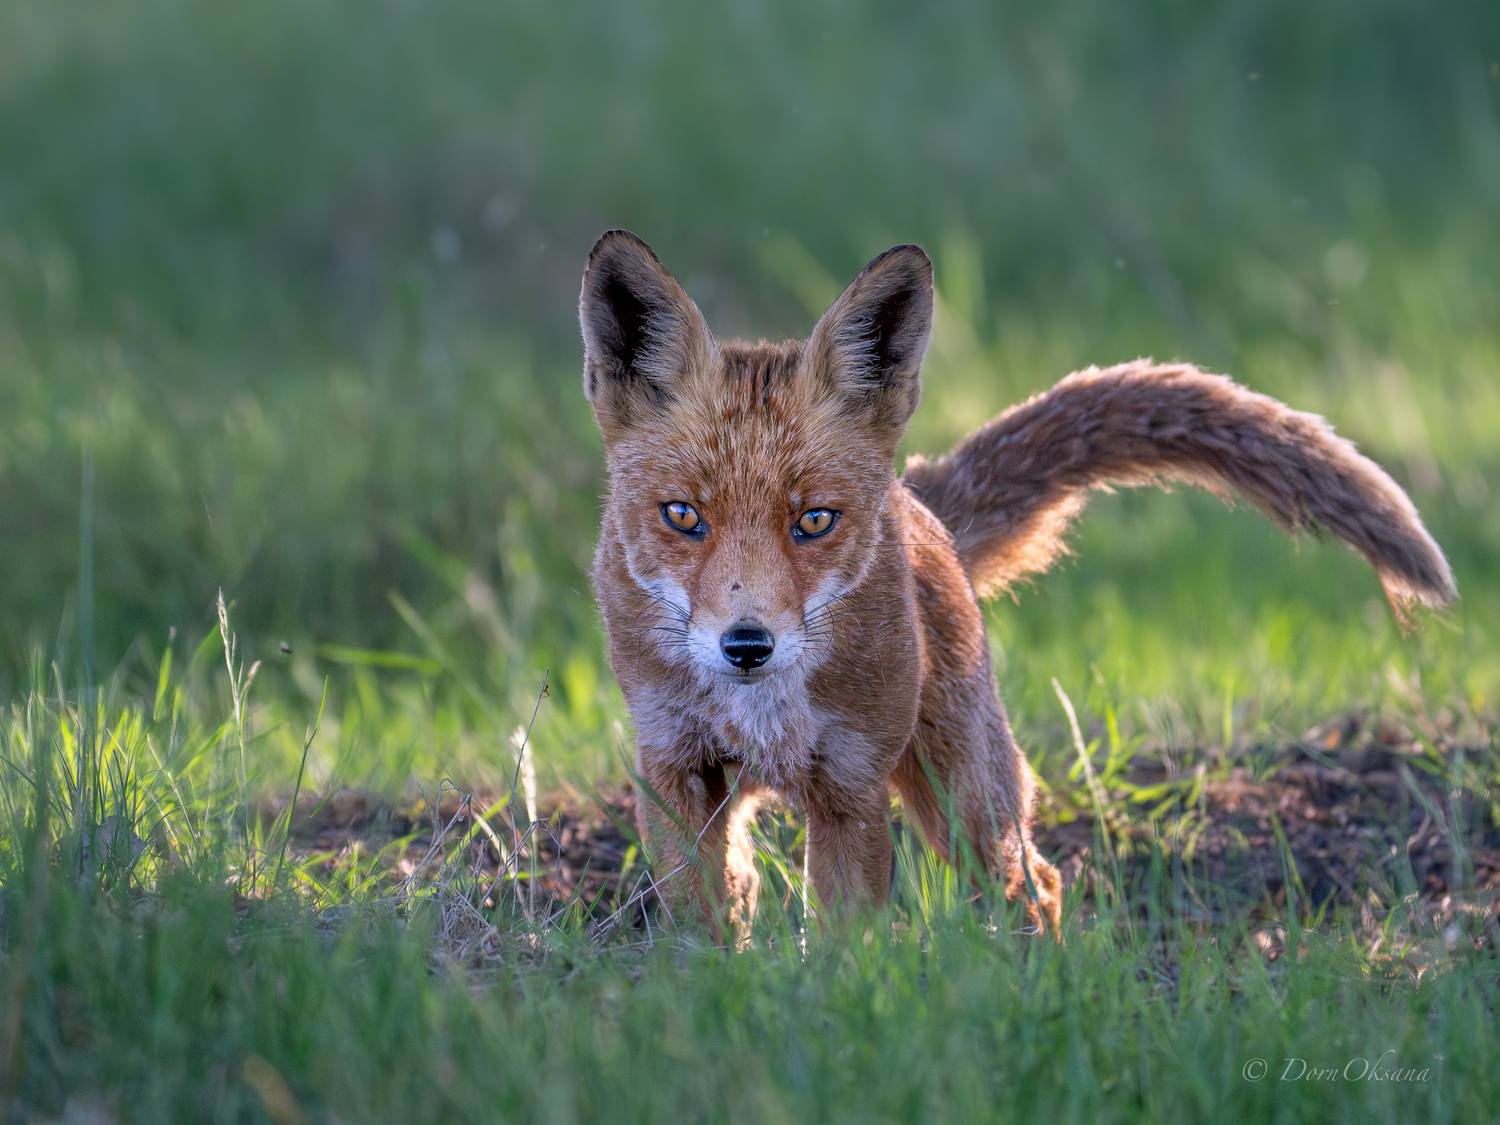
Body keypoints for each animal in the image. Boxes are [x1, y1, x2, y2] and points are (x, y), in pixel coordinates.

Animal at [579, 229, 1456, 942]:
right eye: (684, 515)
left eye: (816, 520)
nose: (747, 645)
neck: (760, 711)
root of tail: (920, 501)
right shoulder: (674, 768)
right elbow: (702, 927)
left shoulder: (850, 787)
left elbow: (843, 947)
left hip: (962, 796)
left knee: (1036, 883)